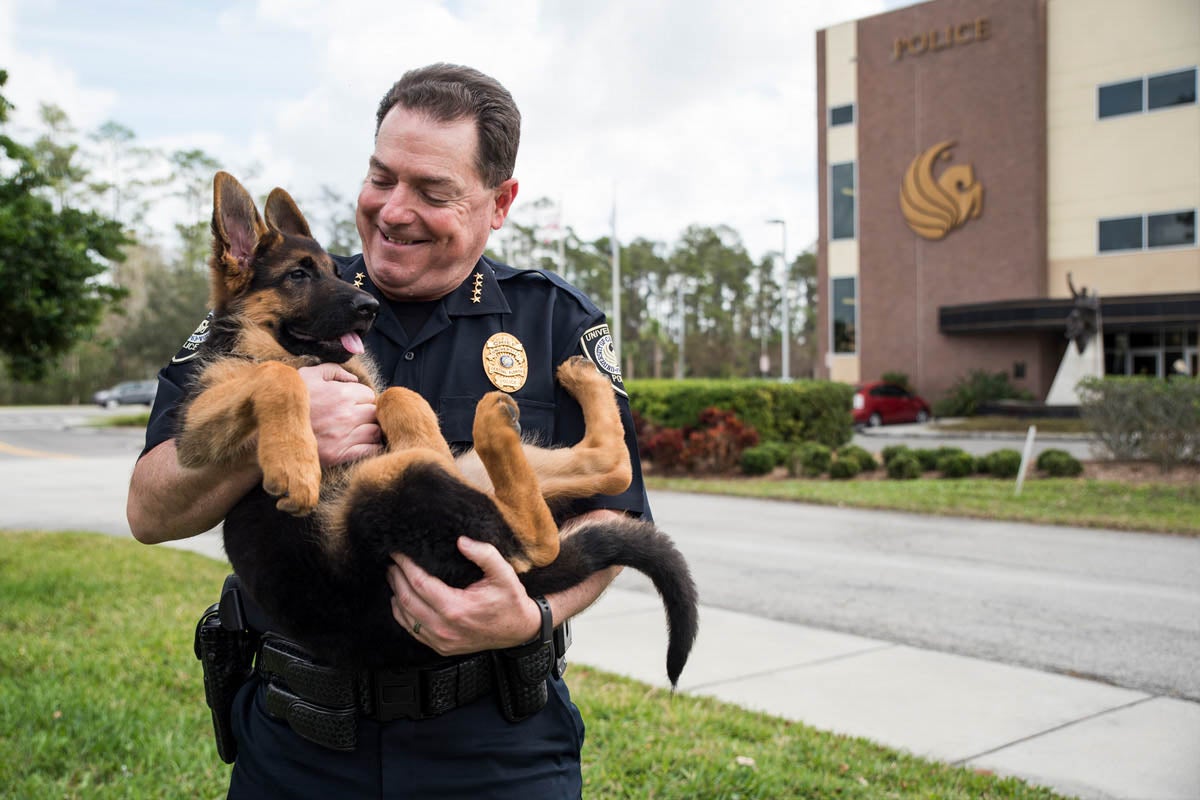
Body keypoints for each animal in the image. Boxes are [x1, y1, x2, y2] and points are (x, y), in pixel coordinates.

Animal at [180, 175, 700, 690]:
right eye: (297, 276)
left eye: (332, 271)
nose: (370, 307)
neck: (276, 345)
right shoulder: (196, 431)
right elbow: (276, 377)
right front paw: (296, 467)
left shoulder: (363, 390)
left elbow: (393, 393)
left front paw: (405, 418)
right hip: (398, 488)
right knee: (545, 535)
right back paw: (494, 423)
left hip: (448, 474)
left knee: (602, 476)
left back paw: (569, 382)